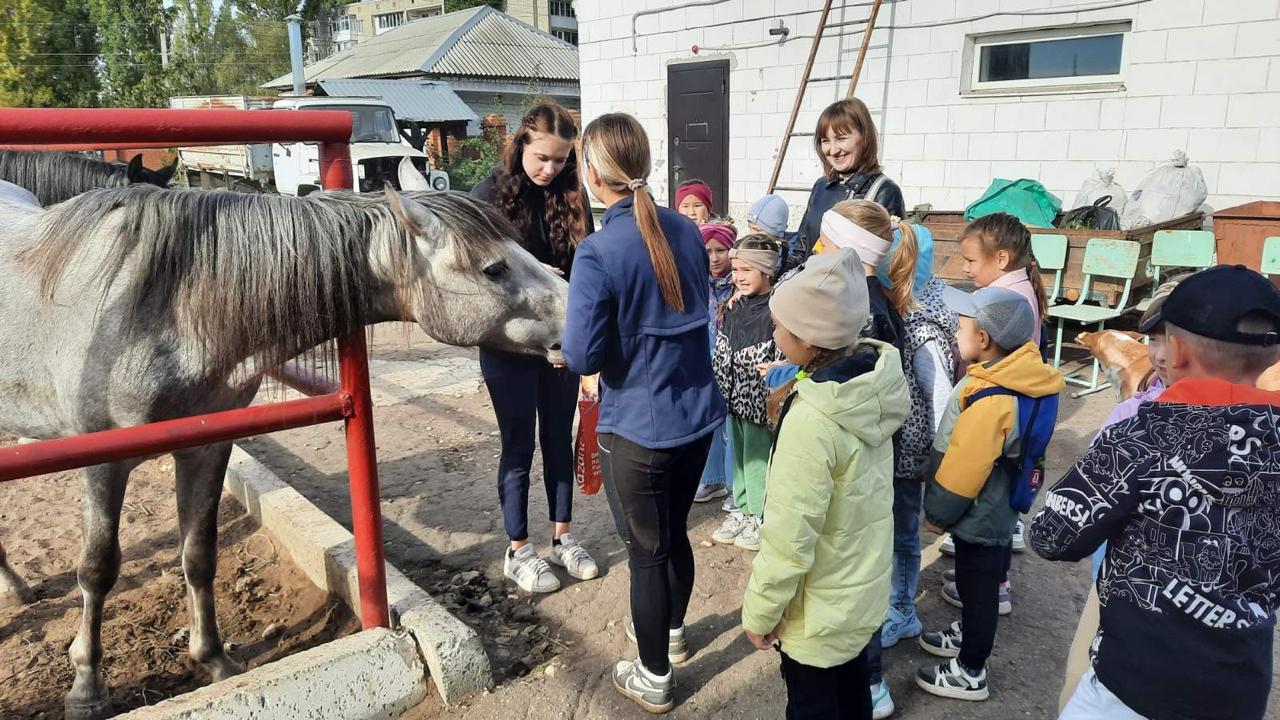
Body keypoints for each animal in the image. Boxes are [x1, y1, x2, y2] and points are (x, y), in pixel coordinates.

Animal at [0, 181, 565, 712]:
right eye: (493, 268)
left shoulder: (206, 448)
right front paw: (87, 687)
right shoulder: (103, 463)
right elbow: (97, 569)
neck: (164, 310)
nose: (575, 311)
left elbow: (198, 555)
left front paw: (216, 660)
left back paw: (17, 587)